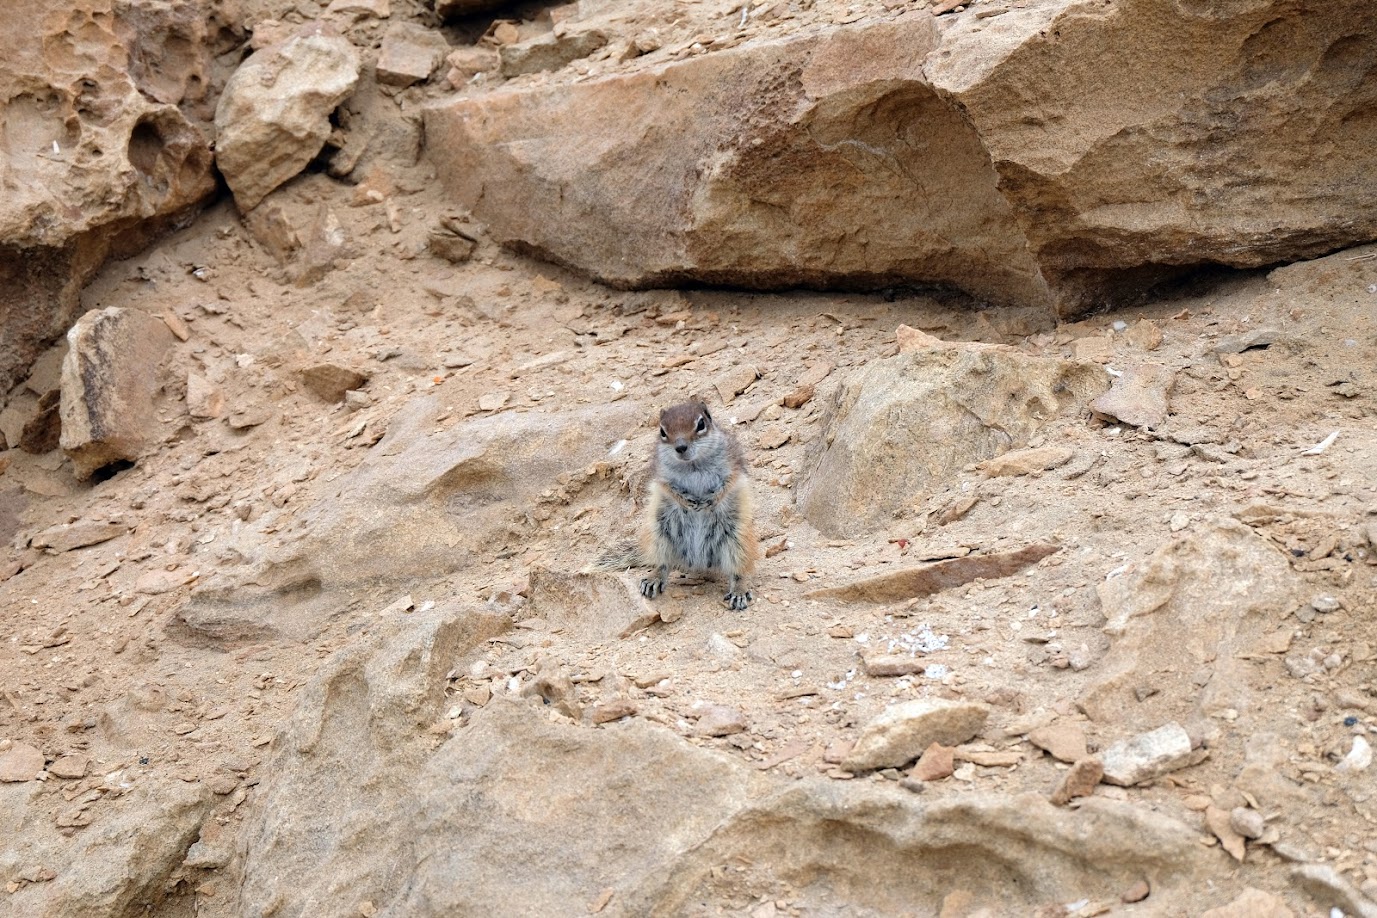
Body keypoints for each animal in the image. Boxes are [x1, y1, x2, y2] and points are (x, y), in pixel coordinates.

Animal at [594, 401, 760, 611]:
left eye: (701, 424)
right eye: (662, 431)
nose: (680, 447)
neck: (693, 464)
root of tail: (697, 563)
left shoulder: (732, 463)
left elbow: (728, 483)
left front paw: (711, 500)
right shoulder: (662, 474)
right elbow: (669, 488)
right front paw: (687, 501)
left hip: (737, 540)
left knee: (738, 570)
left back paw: (739, 591)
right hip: (660, 535)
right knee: (663, 564)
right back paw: (654, 579)